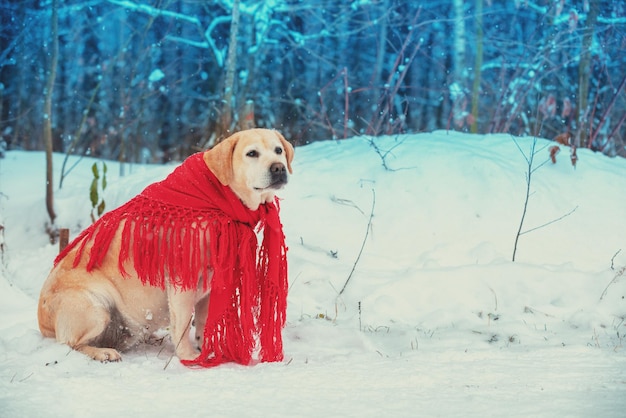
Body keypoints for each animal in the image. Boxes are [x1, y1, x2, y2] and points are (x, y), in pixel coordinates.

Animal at [37, 128, 294, 362]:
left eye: (278, 151)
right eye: (252, 153)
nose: (279, 168)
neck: (218, 200)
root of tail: (43, 324)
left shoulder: (210, 283)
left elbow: (203, 321)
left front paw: (207, 349)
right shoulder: (182, 280)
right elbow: (183, 322)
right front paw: (189, 356)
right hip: (96, 308)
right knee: (71, 344)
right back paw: (103, 353)